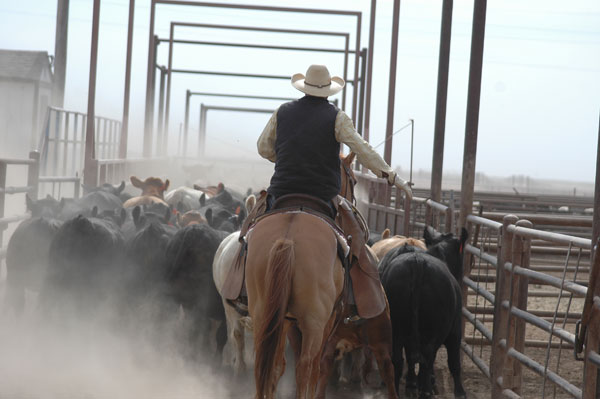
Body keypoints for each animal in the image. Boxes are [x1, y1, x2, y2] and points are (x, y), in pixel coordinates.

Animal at [246, 152, 358, 396]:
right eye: (354, 180)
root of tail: (288, 238)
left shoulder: (283, 319)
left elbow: (276, 365)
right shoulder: (327, 321)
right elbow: (313, 367)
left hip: (262, 311)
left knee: (263, 363)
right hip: (314, 321)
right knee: (306, 366)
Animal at [380, 227, 468, 398]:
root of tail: (417, 262)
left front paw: (412, 384)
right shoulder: (455, 330)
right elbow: (454, 363)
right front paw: (460, 392)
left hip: (396, 329)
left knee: (398, 360)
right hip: (432, 331)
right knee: (427, 359)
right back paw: (426, 390)